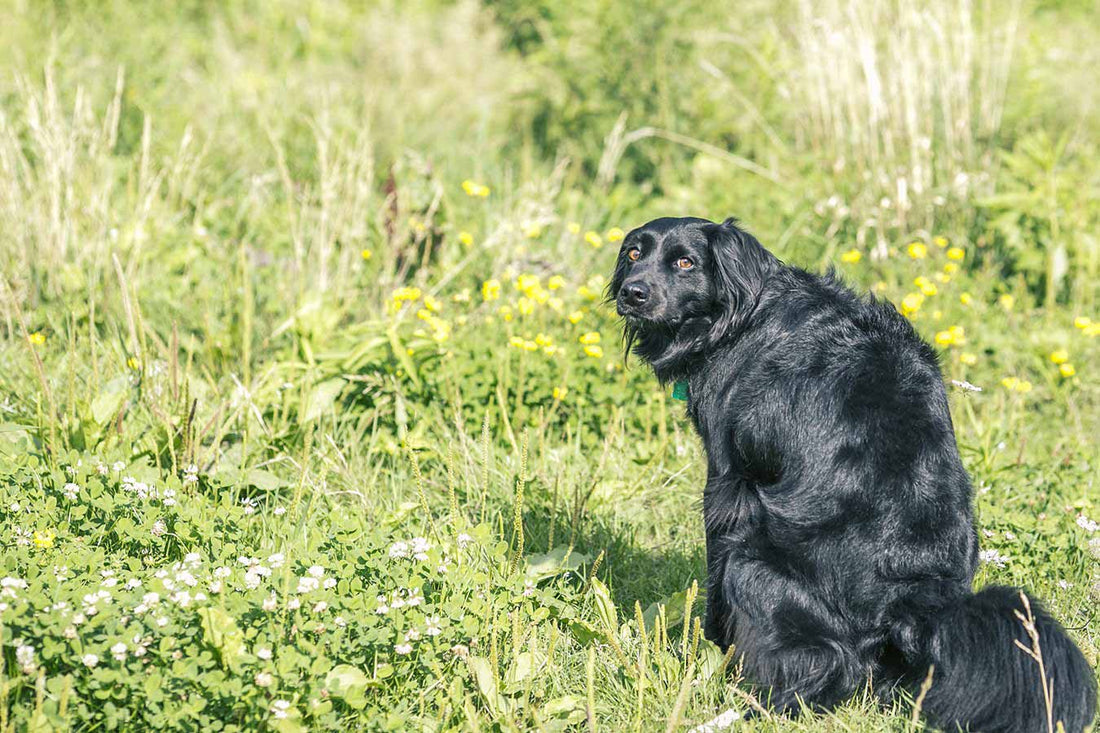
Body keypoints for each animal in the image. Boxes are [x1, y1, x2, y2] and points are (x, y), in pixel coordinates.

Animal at [611, 215, 1091, 730]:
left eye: (685, 262)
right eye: (635, 253)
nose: (633, 293)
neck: (745, 313)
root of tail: (912, 603)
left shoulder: (728, 481)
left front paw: (706, 650)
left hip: (753, 563)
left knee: (821, 666)